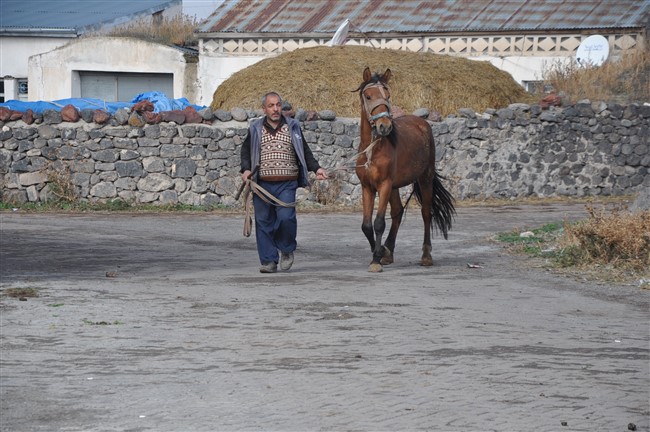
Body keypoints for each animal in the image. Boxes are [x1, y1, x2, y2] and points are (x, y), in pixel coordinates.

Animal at [352, 66, 454, 272]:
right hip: (395, 186)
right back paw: (388, 251)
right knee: (398, 212)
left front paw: (376, 260)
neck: (373, 149)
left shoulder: (384, 185)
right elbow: (366, 225)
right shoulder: (368, 187)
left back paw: (426, 255)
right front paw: (379, 252)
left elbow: (379, 223)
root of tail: (422, 123)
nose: (384, 126)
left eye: (387, 95)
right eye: (368, 96)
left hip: (424, 178)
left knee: (426, 213)